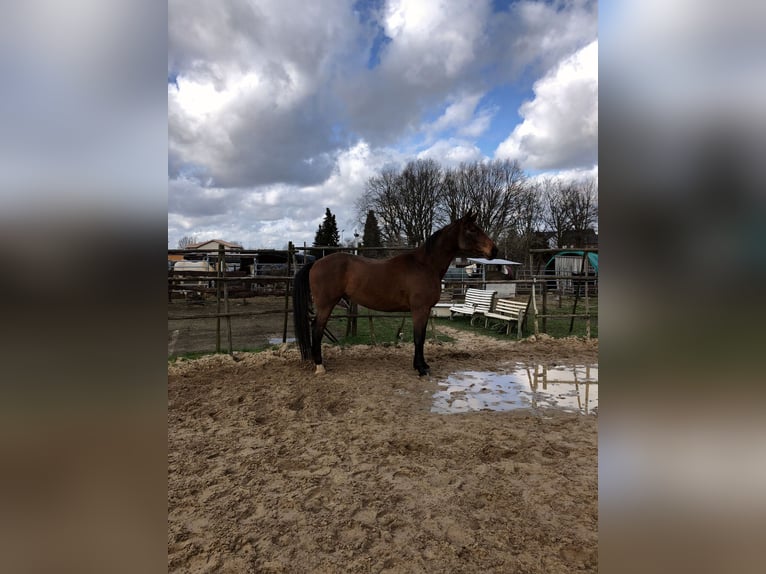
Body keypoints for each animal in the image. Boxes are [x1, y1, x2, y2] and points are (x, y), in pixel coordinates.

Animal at [292, 212, 498, 378]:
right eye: (472, 230)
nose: (494, 250)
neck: (425, 265)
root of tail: (316, 263)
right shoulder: (419, 310)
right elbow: (418, 338)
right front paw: (421, 369)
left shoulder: (423, 311)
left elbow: (422, 337)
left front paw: (422, 365)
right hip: (326, 304)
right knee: (317, 329)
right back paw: (319, 366)